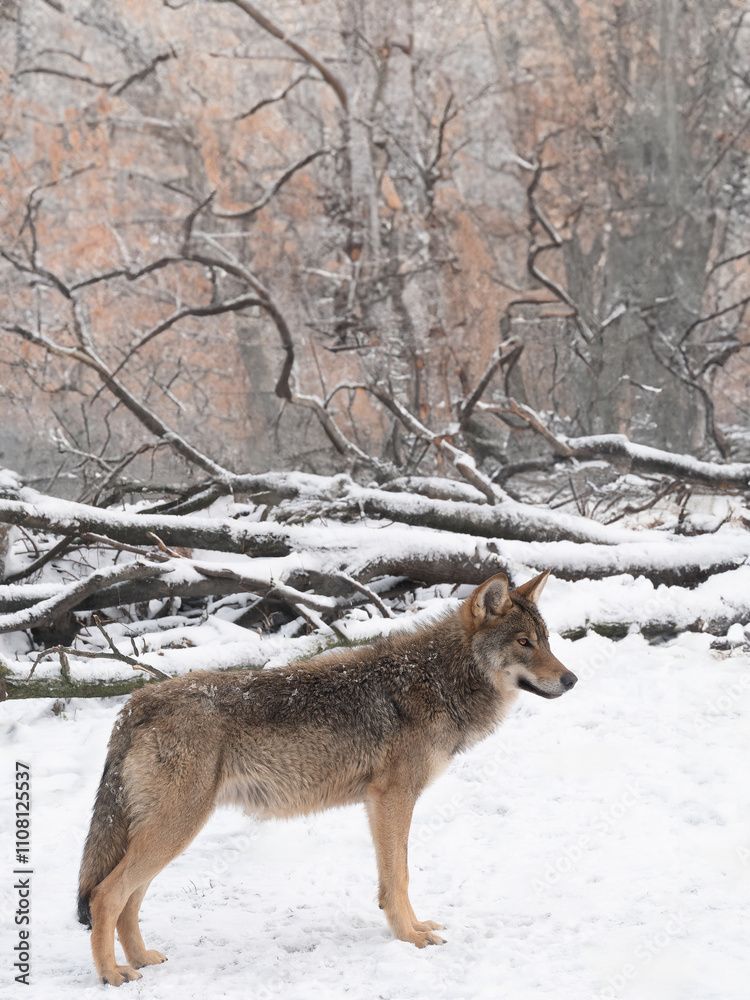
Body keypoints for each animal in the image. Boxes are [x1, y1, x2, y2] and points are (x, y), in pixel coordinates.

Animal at [77, 570, 576, 985]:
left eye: (547, 641)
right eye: (524, 643)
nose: (572, 679)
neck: (436, 681)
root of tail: (135, 704)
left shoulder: (379, 803)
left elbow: (394, 876)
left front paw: (414, 928)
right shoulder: (394, 797)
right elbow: (400, 877)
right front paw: (411, 939)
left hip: (167, 833)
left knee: (128, 901)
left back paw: (141, 960)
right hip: (175, 829)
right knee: (105, 896)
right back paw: (112, 975)